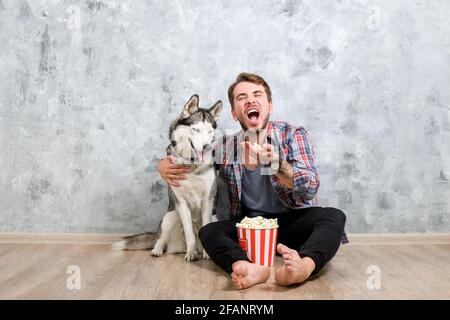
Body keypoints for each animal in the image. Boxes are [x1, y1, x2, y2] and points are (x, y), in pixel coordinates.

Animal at [113, 94, 222, 260]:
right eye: (195, 129)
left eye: (210, 131)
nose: (207, 146)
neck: (191, 165)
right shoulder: (181, 203)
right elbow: (189, 233)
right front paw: (191, 254)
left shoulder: (207, 201)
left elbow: (206, 227)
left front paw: (206, 254)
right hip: (169, 217)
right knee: (161, 239)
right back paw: (158, 250)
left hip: (214, 217)